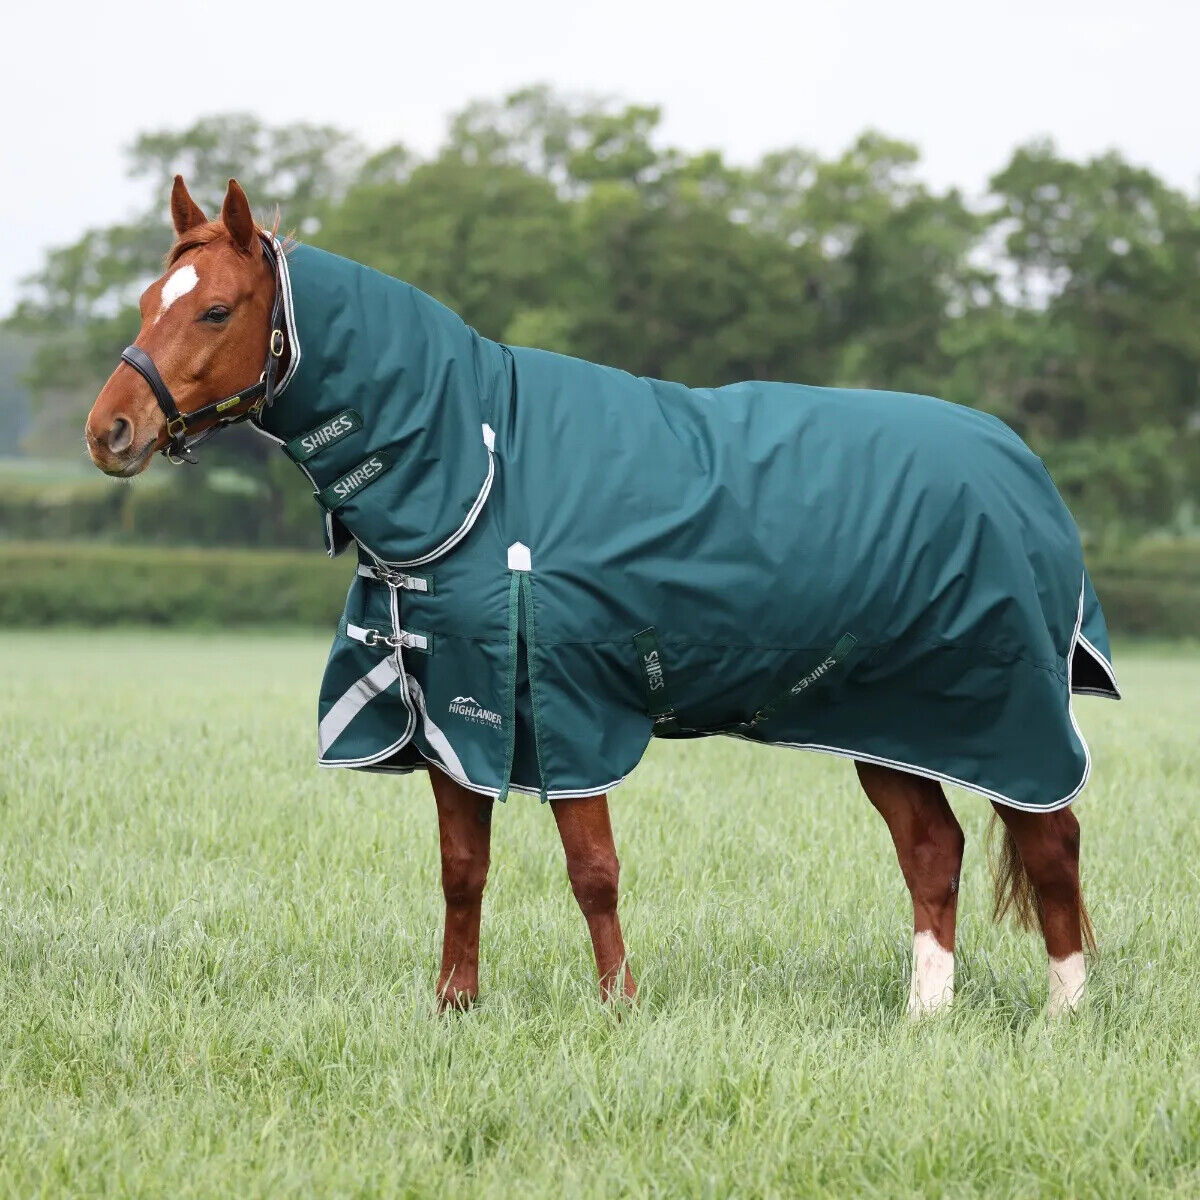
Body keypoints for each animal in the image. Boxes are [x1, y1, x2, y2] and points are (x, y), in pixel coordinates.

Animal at [85, 176, 1113, 1017]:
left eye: (216, 309)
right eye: (146, 300)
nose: (110, 431)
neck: (478, 464)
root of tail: (1022, 464)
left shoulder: (565, 706)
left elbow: (593, 871)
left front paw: (619, 1005)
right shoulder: (450, 711)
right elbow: (463, 870)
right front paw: (454, 1005)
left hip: (1005, 708)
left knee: (1052, 841)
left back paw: (1065, 1012)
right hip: (886, 717)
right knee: (933, 850)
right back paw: (924, 1015)